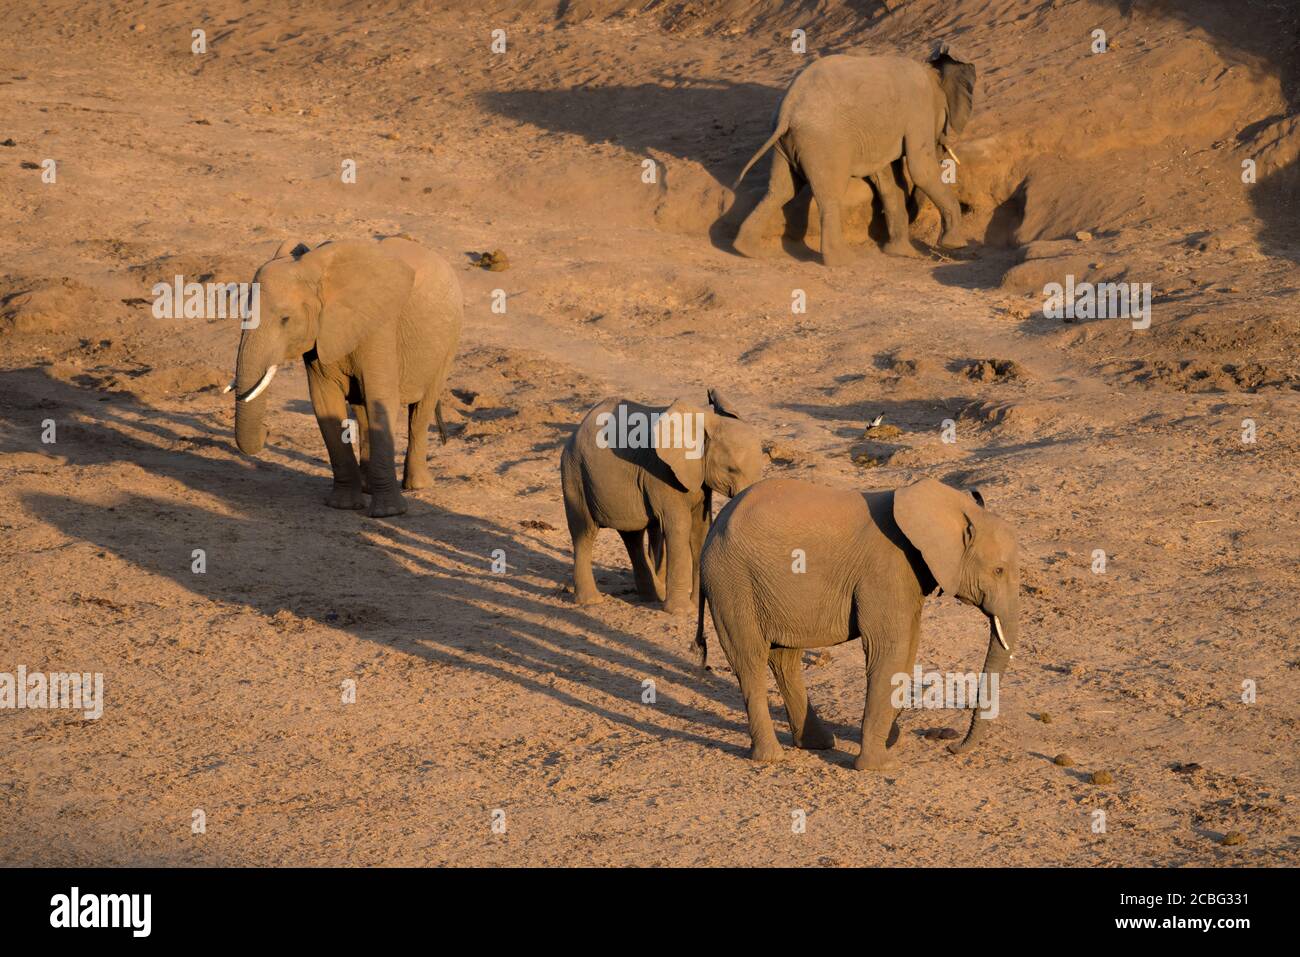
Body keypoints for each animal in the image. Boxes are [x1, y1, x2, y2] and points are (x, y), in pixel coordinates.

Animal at [231, 234, 465, 514]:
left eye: (285, 319)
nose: (266, 430)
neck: (317, 272)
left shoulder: (379, 328)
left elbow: (381, 399)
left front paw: (389, 512)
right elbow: (324, 403)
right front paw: (343, 505)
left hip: (448, 343)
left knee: (422, 409)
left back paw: (417, 485)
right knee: (362, 411)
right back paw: (368, 487)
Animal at [564, 392, 764, 616]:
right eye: (731, 469)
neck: (705, 420)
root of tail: (578, 429)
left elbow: (700, 529)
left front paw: (694, 607)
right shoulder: (661, 472)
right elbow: (679, 526)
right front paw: (681, 612)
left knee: (632, 536)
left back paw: (651, 598)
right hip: (575, 474)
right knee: (584, 532)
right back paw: (591, 601)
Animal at [696, 475, 1019, 774]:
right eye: (998, 570)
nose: (952, 748)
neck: (956, 506)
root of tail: (714, 527)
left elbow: (909, 647)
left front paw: (890, 739)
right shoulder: (886, 570)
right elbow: (889, 648)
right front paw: (880, 765)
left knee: (785, 658)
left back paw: (819, 743)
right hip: (732, 581)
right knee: (749, 659)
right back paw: (772, 756)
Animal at [733, 43, 977, 265]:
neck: (930, 70)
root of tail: (788, 109)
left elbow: (890, 181)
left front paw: (901, 253)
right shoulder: (919, 109)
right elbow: (921, 170)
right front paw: (956, 245)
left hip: (787, 141)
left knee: (780, 190)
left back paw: (747, 250)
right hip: (823, 142)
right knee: (829, 195)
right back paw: (842, 260)